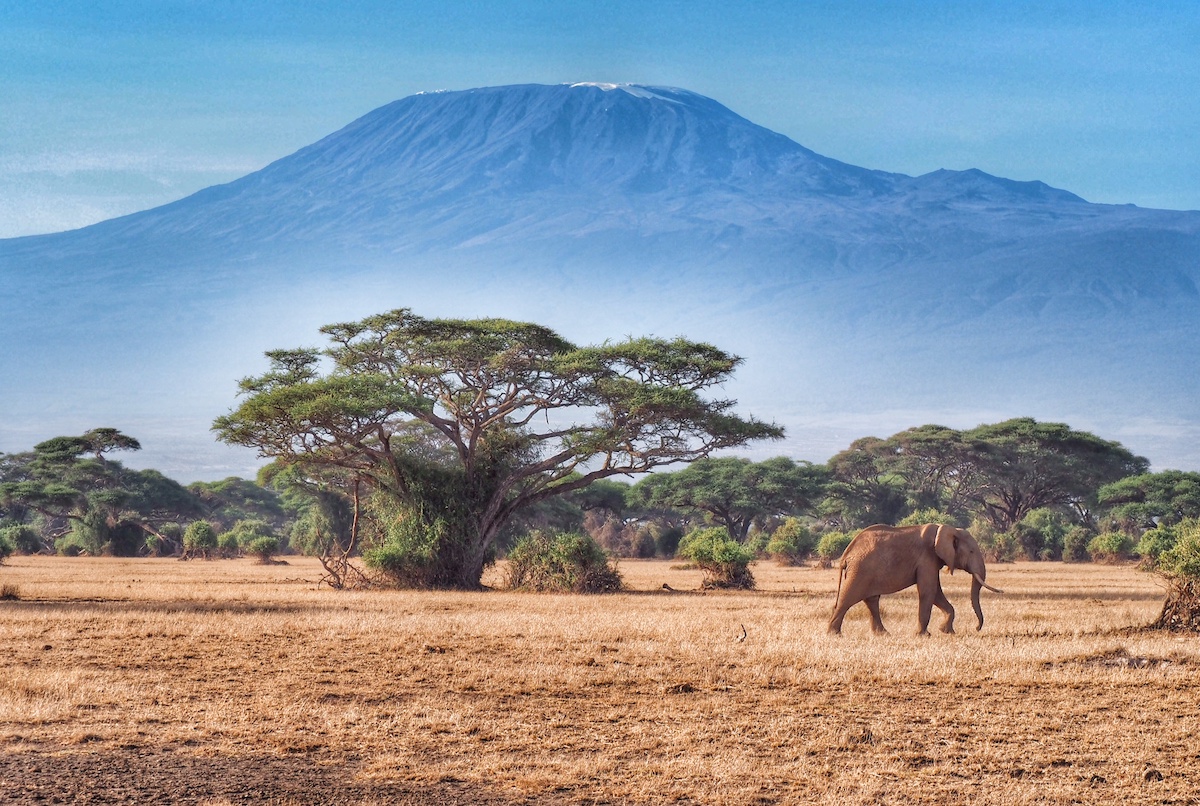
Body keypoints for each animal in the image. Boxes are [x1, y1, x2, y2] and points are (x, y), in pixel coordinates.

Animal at [825, 522, 1003, 638]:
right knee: (848, 598)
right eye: (972, 551)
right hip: (860, 570)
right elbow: (928, 591)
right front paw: (924, 635)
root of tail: (846, 554)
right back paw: (834, 635)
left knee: (871, 600)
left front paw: (947, 631)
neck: (948, 529)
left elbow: (935, 592)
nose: (977, 628)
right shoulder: (927, 558)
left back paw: (883, 634)